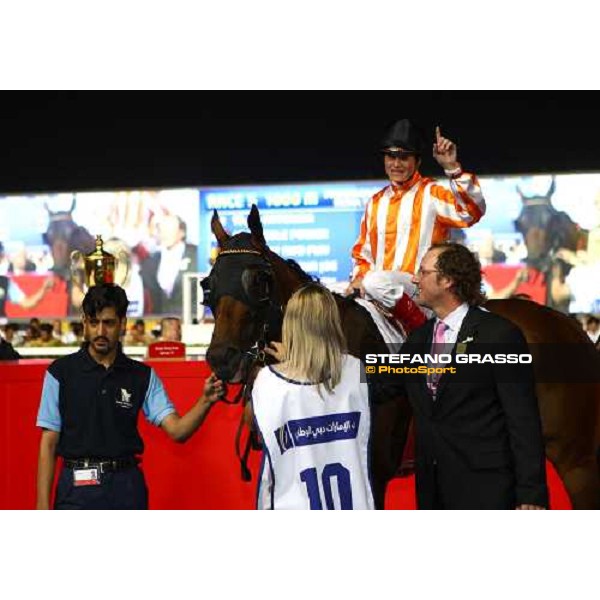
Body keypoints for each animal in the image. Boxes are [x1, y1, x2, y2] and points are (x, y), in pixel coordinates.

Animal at [204, 207, 596, 510]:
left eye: (259, 280)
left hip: (576, 460)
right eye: (209, 284)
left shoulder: (373, 470)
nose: (221, 358)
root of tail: (567, 323)